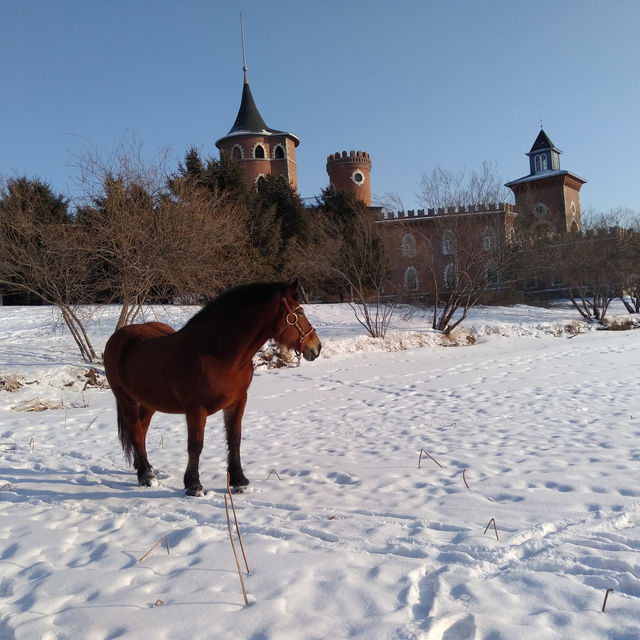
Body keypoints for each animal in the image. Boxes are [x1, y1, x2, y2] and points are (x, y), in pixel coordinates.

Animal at [104, 278, 320, 496]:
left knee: (142, 430)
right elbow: (196, 445)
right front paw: (194, 485)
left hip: (149, 402)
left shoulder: (238, 401)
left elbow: (234, 439)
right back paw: (146, 475)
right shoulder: (196, 408)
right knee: (136, 432)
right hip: (127, 401)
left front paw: (239, 480)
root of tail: (117, 337)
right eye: (300, 312)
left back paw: (143, 467)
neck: (217, 353)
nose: (316, 347)